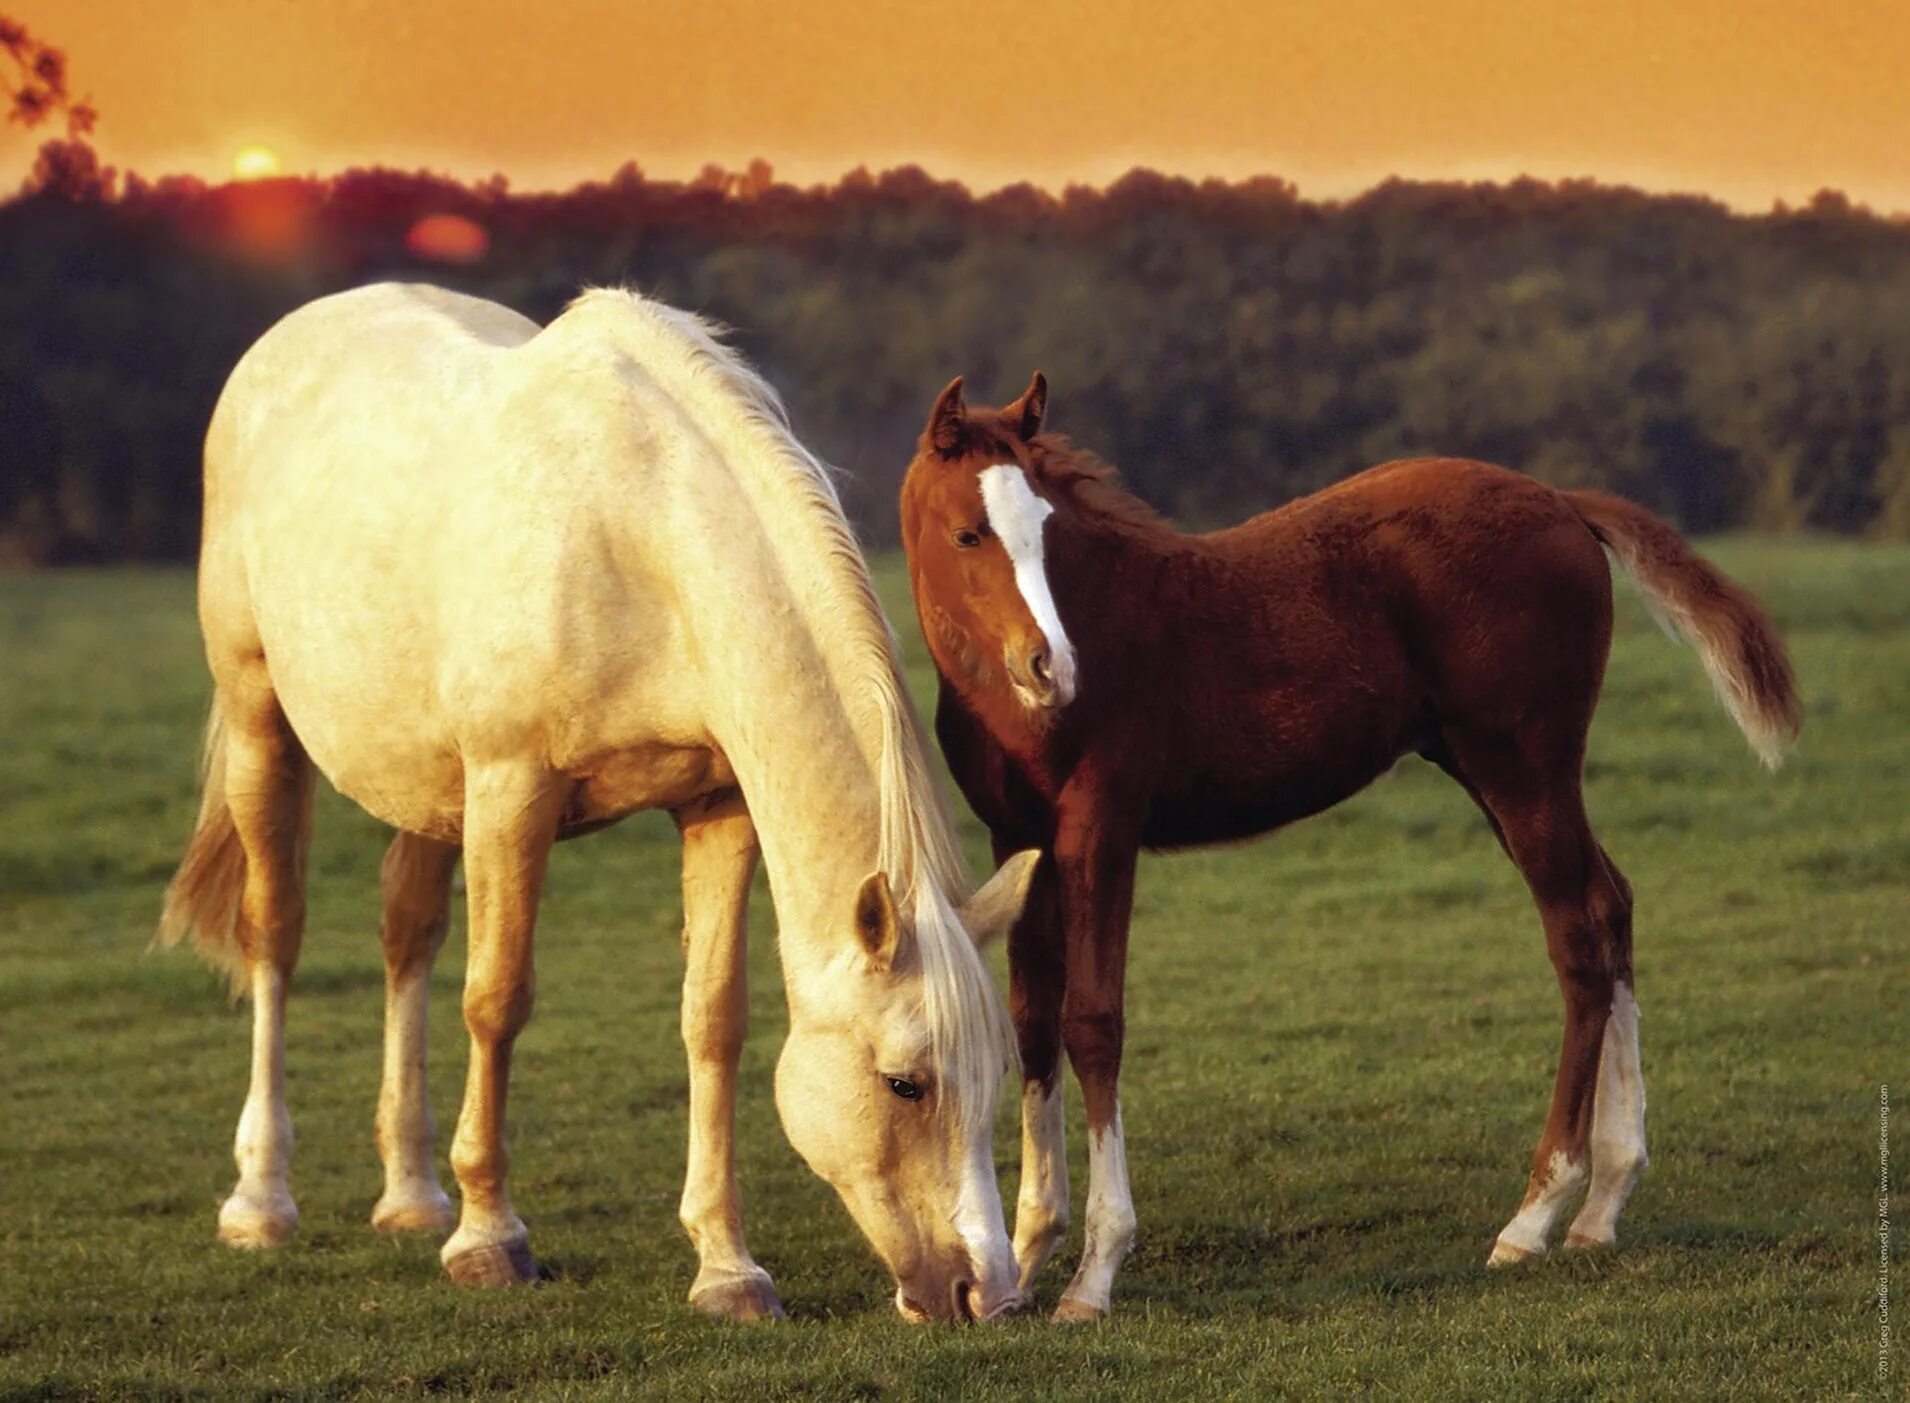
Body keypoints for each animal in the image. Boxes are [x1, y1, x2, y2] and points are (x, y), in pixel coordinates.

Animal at [154, 288, 1039, 1328]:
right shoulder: (511, 789)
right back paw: (262, 1199)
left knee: (405, 935)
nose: (992, 1292)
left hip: (425, 787)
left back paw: (412, 1194)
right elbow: (496, 1000)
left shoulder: (716, 803)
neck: (640, 538)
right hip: (262, 719)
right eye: (903, 1082)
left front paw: (726, 1267)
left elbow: (714, 1017)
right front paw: (490, 1239)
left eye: (998, 1073)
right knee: (276, 935)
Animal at [901, 374, 1795, 1313]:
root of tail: (1561, 501)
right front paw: (1023, 1260)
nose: (1052, 669)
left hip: (1523, 766)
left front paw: (1096, 1270)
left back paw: (1535, 1216)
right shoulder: (1020, 838)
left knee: (1581, 937)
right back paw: (1604, 1203)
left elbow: (1093, 1021)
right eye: (968, 532)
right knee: (1610, 902)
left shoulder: (1103, 824)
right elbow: (1033, 1022)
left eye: (1046, 530)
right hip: (1493, 770)